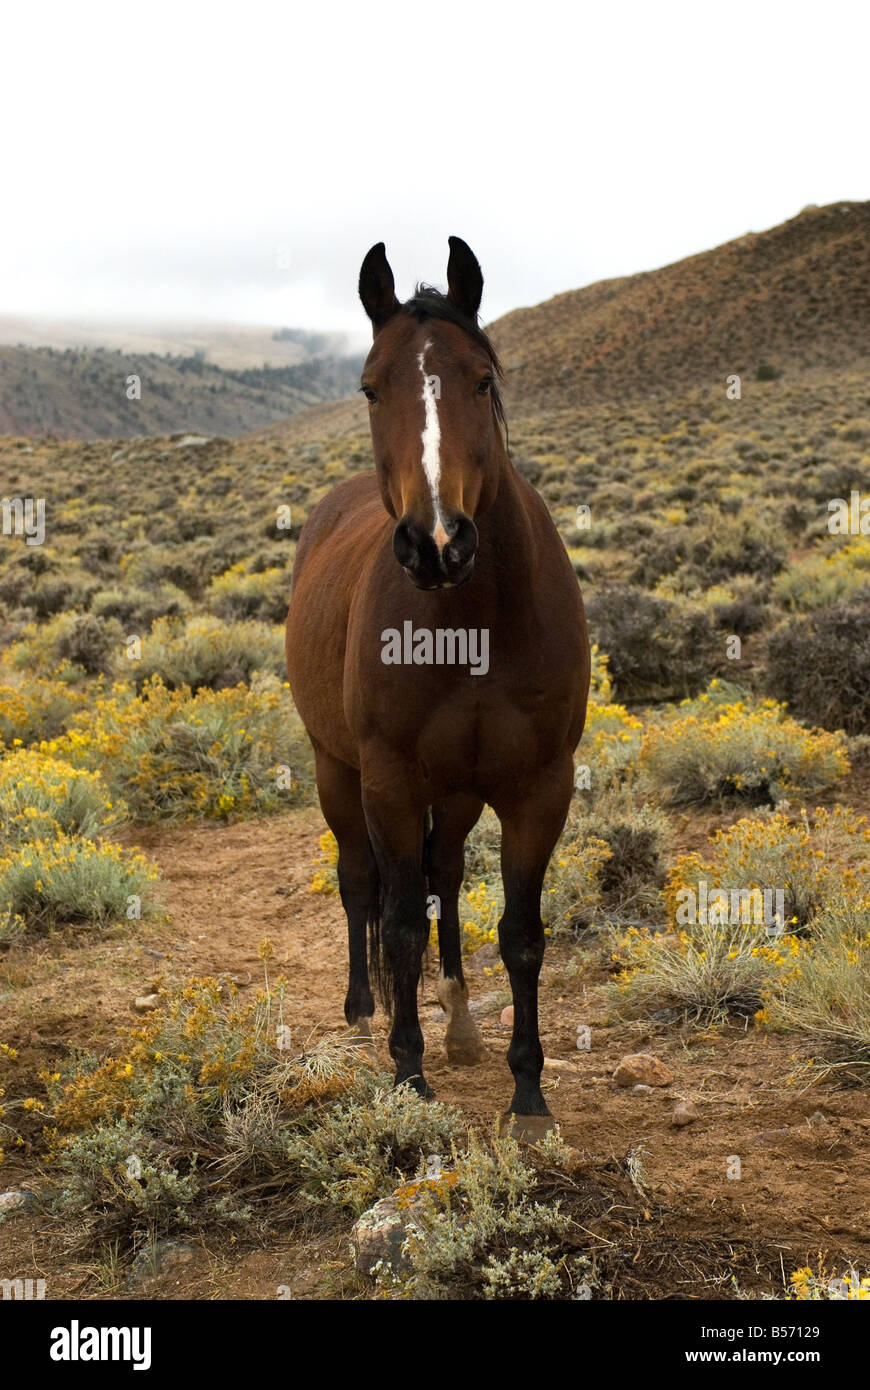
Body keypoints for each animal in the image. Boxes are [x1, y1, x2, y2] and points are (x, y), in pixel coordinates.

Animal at [286, 236, 590, 1128]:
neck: (473, 622)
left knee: (443, 879)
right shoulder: (387, 779)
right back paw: (364, 1009)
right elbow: (396, 926)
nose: (436, 542)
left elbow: (519, 933)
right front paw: (408, 1075)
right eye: (369, 386)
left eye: (482, 379)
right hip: (335, 769)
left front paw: (528, 1093)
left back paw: (457, 1021)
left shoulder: (539, 785)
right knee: (363, 884)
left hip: (454, 791)